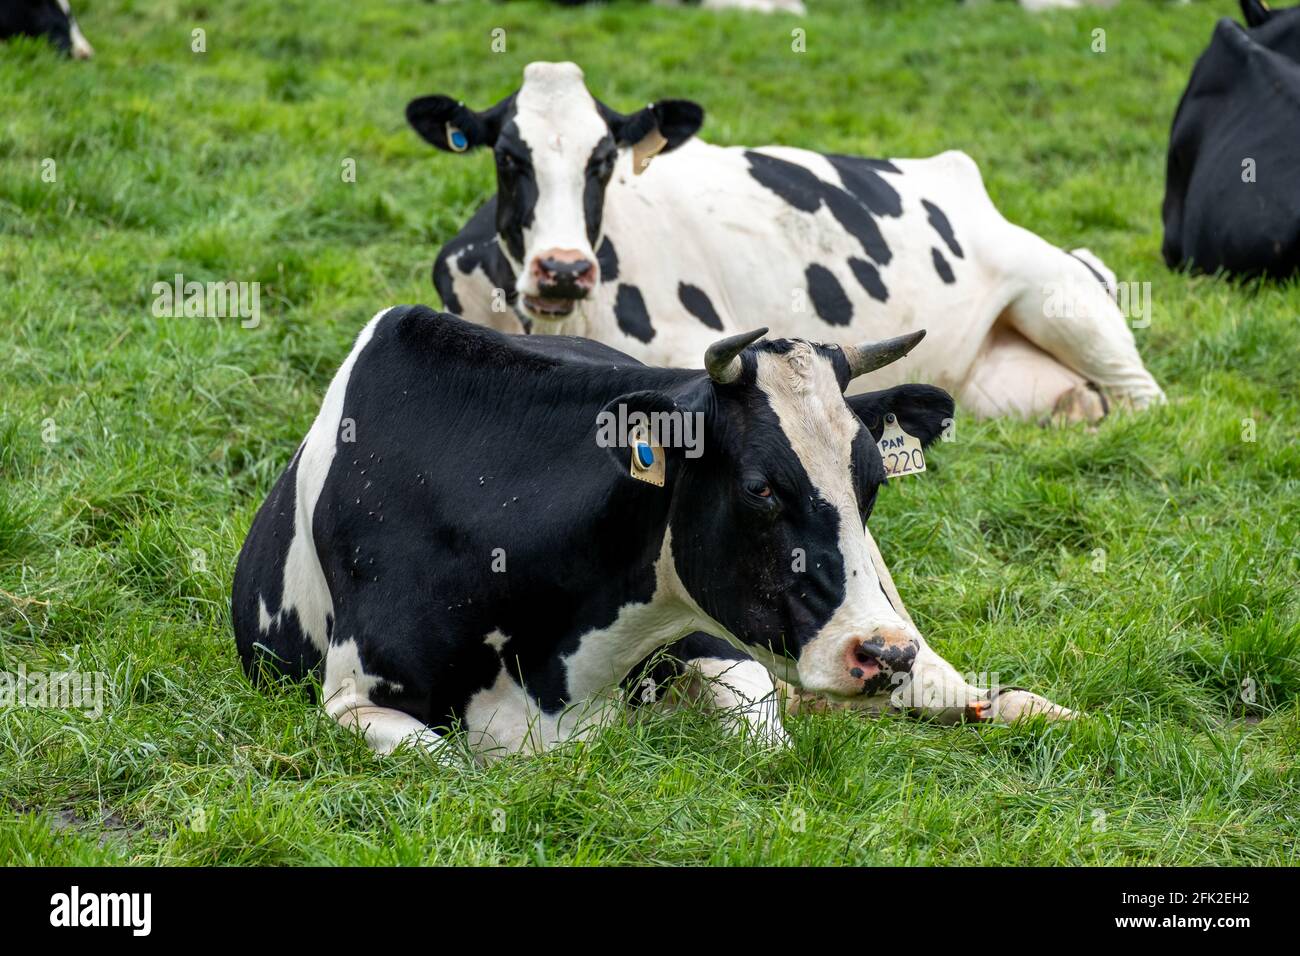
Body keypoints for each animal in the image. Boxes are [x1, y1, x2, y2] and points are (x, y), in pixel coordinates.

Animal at [231, 306, 1072, 761]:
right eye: (760, 488)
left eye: (872, 484)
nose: (881, 654)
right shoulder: (351, 701)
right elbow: (442, 760)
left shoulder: (719, 640)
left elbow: (762, 729)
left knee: (962, 687)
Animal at [408, 62, 1163, 428]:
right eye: (509, 156)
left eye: (604, 161)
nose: (563, 269)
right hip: (997, 385)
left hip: (1061, 296)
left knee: (1145, 400)